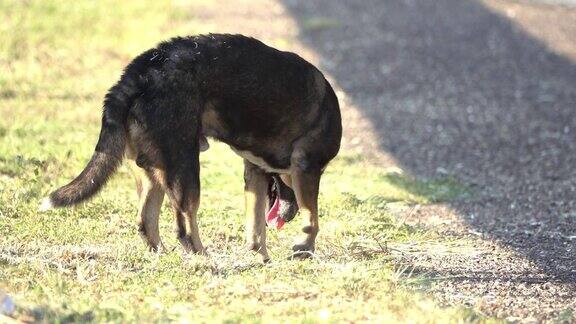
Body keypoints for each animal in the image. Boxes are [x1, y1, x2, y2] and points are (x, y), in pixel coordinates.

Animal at [39, 33, 342, 260]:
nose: (287, 218)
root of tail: (138, 73)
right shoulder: (307, 167)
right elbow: (312, 220)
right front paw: (303, 248)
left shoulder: (255, 173)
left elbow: (256, 227)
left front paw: (262, 258)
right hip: (185, 167)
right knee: (184, 225)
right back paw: (203, 257)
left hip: (153, 174)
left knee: (146, 222)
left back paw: (163, 256)